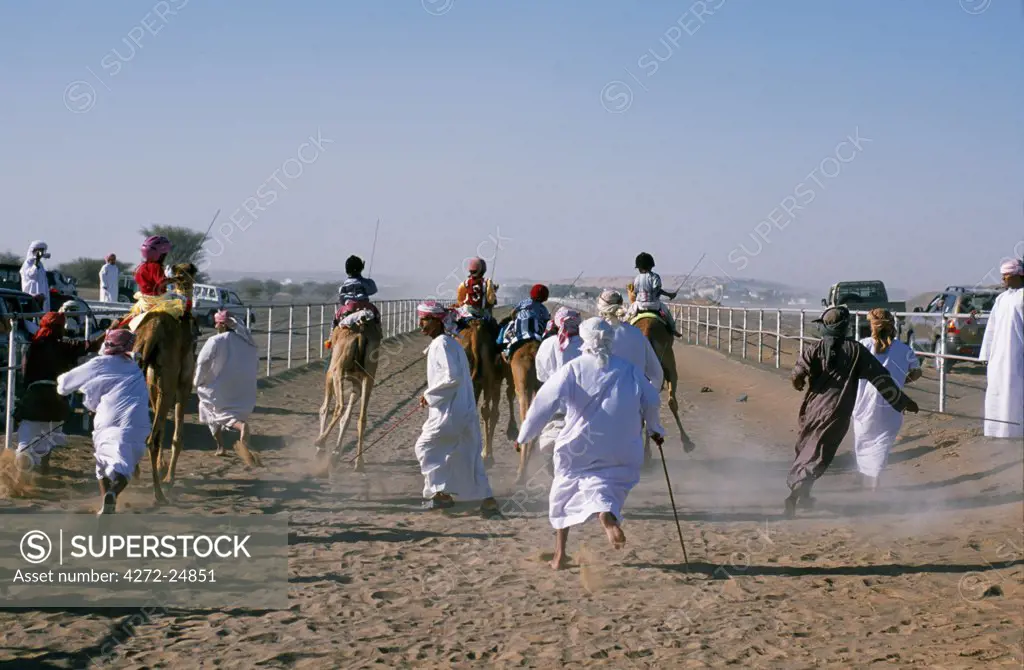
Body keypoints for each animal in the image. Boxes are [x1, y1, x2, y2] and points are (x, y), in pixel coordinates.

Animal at [313, 319, 382, 473]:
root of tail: (361, 334)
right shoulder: (357, 382)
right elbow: (347, 418)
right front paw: (335, 453)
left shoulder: (330, 374)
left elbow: (324, 409)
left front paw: (322, 451)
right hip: (369, 374)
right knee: (361, 418)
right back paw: (359, 463)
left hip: (337, 369)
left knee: (339, 407)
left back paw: (320, 441)